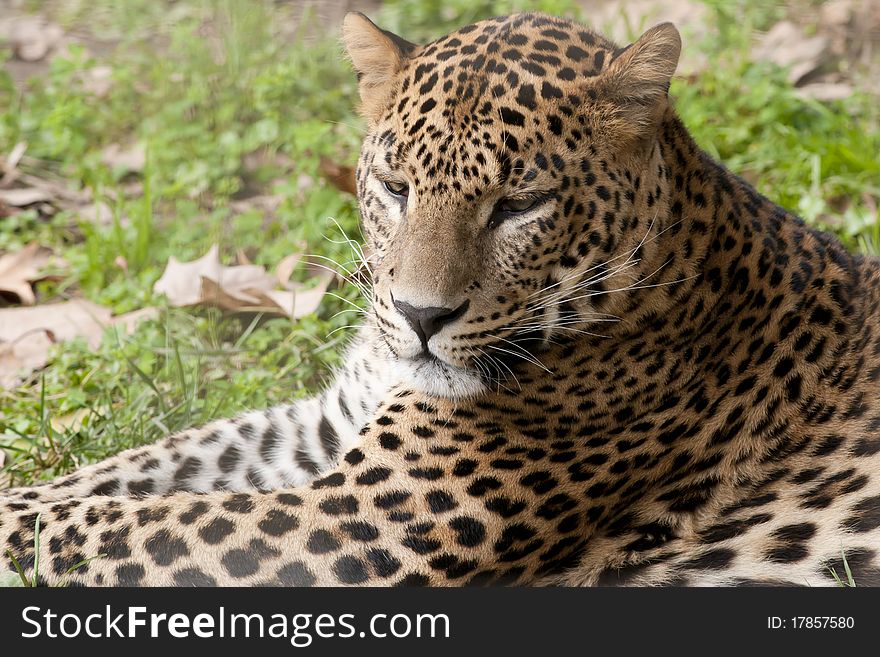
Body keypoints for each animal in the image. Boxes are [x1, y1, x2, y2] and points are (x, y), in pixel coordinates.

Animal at [1, 11, 880, 584]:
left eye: (520, 205)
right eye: (396, 188)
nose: (421, 317)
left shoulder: (354, 523)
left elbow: (114, 520)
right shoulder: (320, 429)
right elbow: (129, 474)